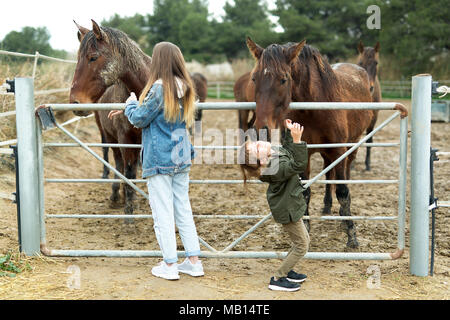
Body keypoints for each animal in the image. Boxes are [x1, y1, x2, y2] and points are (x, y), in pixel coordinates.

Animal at [70, 20, 151, 220]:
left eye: (93, 57)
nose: (75, 102)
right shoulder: (125, 139)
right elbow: (128, 172)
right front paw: (129, 212)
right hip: (110, 136)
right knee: (118, 162)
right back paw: (116, 194)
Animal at [244, 37, 374, 248]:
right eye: (254, 78)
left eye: (283, 79)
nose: (261, 128)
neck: (316, 105)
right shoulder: (303, 152)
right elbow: (304, 192)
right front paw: (305, 229)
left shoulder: (339, 150)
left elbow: (343, 192)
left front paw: (351, 235)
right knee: (329, 174)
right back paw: (327, 206)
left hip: (351, 146)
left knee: (344, 174)